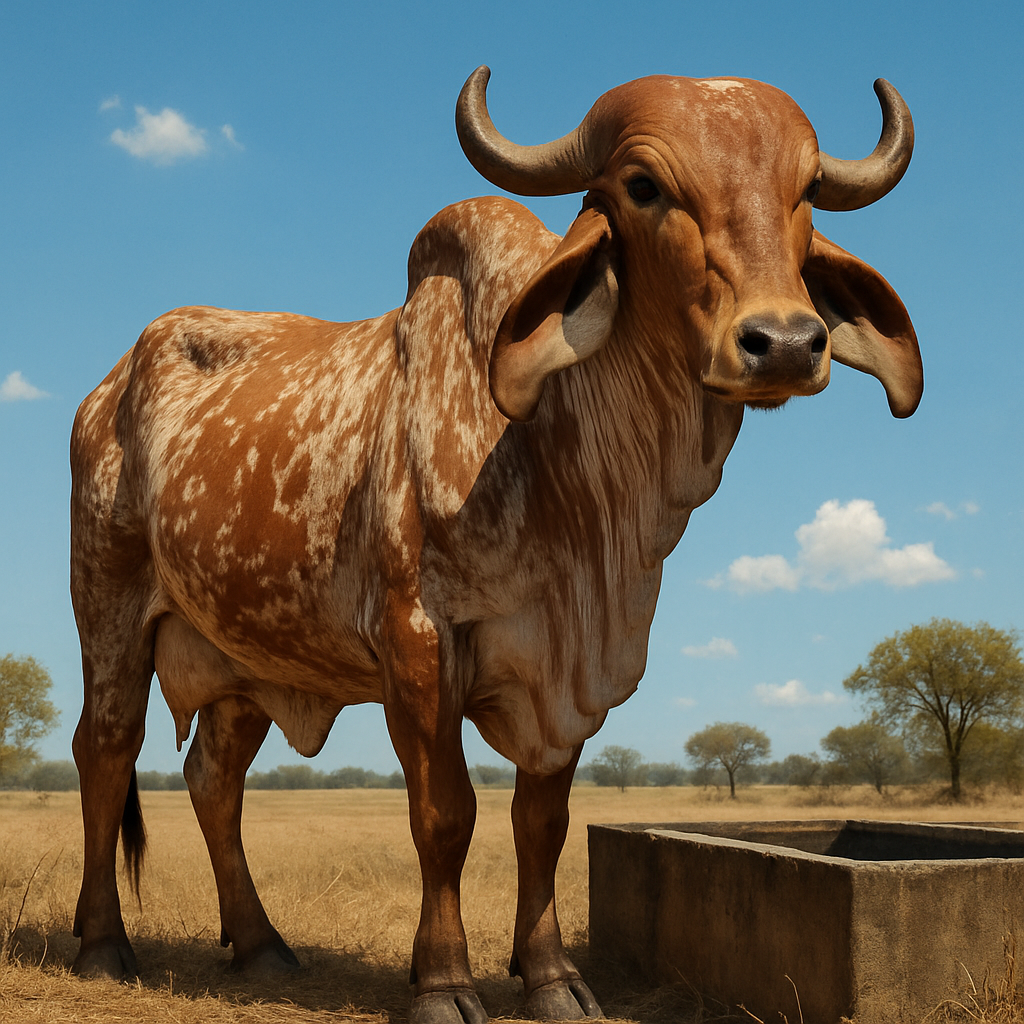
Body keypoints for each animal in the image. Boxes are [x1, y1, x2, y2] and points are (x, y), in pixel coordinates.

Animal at [69, 66, 921, 1023]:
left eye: (806, 190)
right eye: (644, 186)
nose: (783, 343)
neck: (565, 463)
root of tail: (108, 389)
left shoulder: (568, 678)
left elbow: (540, 824)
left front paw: (552, 978)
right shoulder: (418, 643)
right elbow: (446, 815)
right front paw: (443, 982)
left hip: (248, 663)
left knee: (213, 781)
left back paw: (260, 947)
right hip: (108, 612)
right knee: (106, 752)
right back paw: (102, 946)